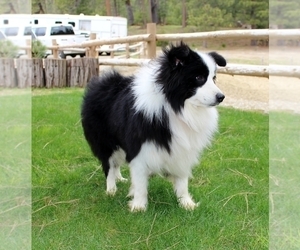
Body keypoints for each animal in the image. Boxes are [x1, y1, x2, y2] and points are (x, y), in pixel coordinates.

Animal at [81, 42, 226, 211]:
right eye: (199, 78)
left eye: (214, 78)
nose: (221, 97)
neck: (176, 106)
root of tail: (100, 82)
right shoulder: (139, 148)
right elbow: (140, 181)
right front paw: (138, 206)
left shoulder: (181, 150)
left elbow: (182, 181)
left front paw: (186, 203)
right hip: (105, 142)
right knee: (109, 165)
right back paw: (111, 189)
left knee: (116, 164)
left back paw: (120, 179)